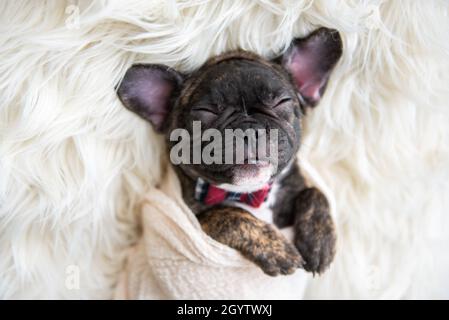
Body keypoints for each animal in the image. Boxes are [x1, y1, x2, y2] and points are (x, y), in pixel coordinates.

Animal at [117, 27, 342, 276]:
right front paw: (276, 249)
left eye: (282, 101)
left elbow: (314, 192)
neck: (249, 194)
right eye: (205, 111)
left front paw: (319, 242)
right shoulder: (196, 222)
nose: (249, 128)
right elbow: (228, 215)